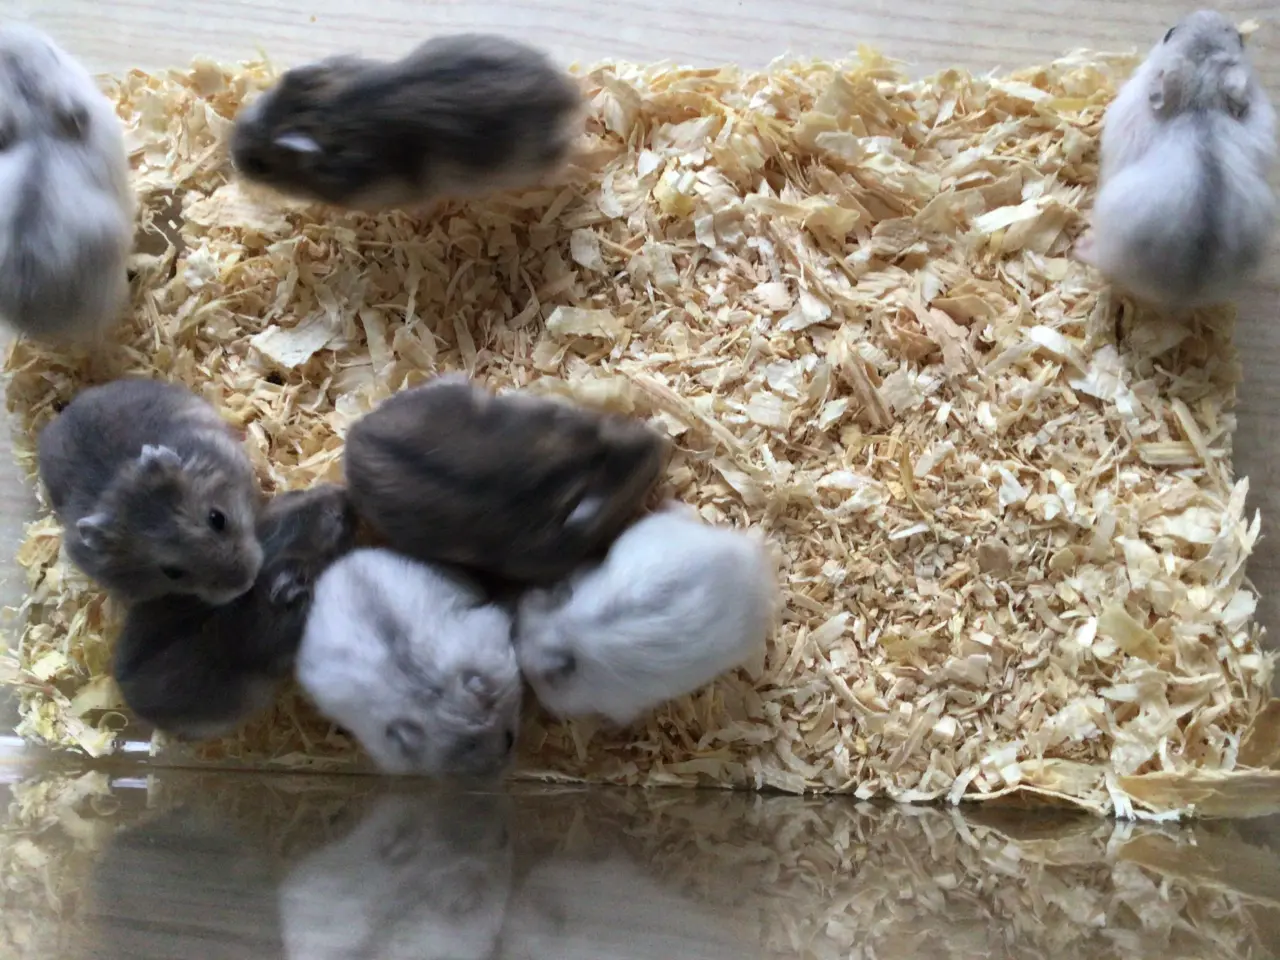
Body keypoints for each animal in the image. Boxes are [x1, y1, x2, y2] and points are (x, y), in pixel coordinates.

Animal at [1078, 10, 1276, 308]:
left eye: (1169, 33)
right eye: (1240, 40)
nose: (1206, 12)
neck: (1199, 104)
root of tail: (1181, 294)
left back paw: (1080, 245)